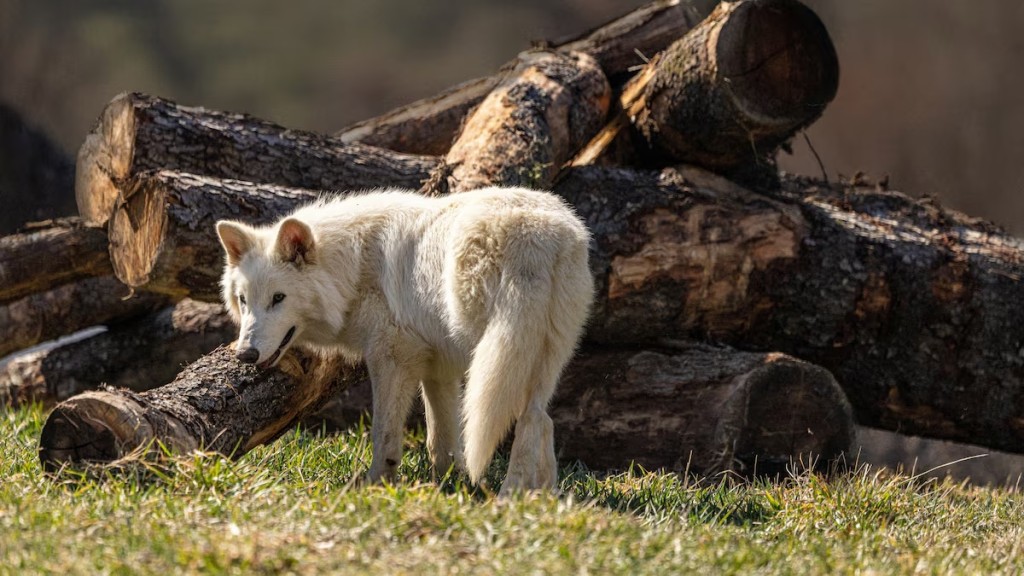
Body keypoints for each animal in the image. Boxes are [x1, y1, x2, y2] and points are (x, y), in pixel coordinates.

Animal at [215, 187, 593, 494]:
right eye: (244, 300)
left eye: (278, 299)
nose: (246, 354)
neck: (352, 269)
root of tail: (538, 236)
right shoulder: (438, 370)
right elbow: (441, 441)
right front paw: (446, 486)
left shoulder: (393, 359)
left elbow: (384, 435)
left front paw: (375, 485)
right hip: (537, 360)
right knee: (539, 419)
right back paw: (537, 497)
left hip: (492, 358)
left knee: (525, 420)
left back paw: (509, 498)